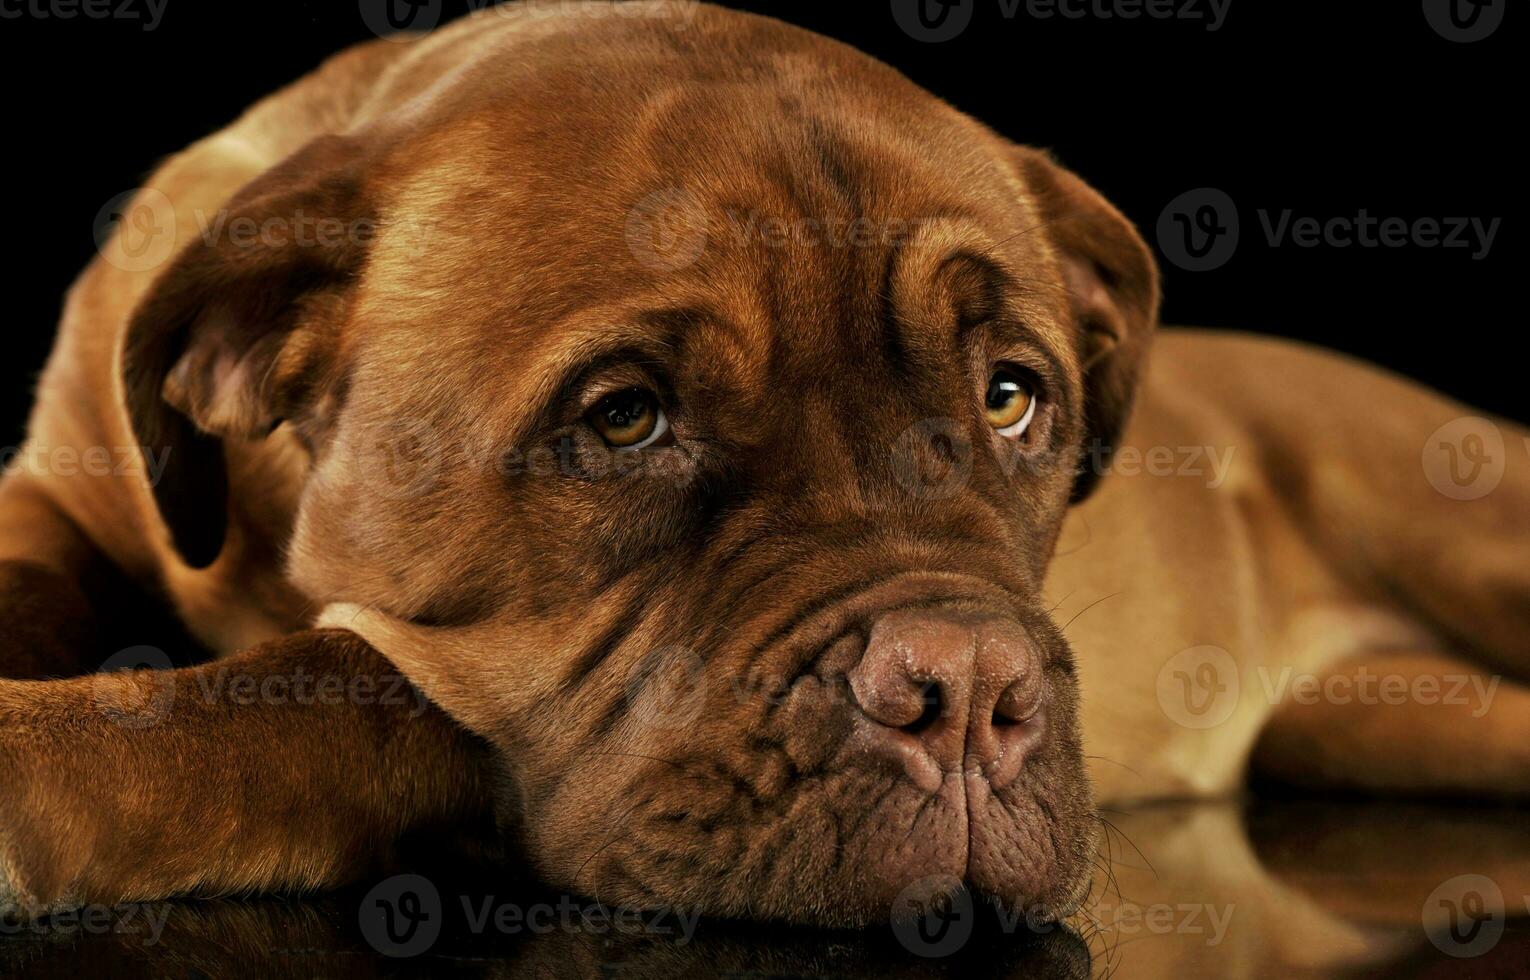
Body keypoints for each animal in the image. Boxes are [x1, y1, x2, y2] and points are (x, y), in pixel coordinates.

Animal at [2, 0, 1530, 929]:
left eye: (1012, 398)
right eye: (625, 417)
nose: (968, 691)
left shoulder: (424, 694)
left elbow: (300, 692)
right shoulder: (58, 489)